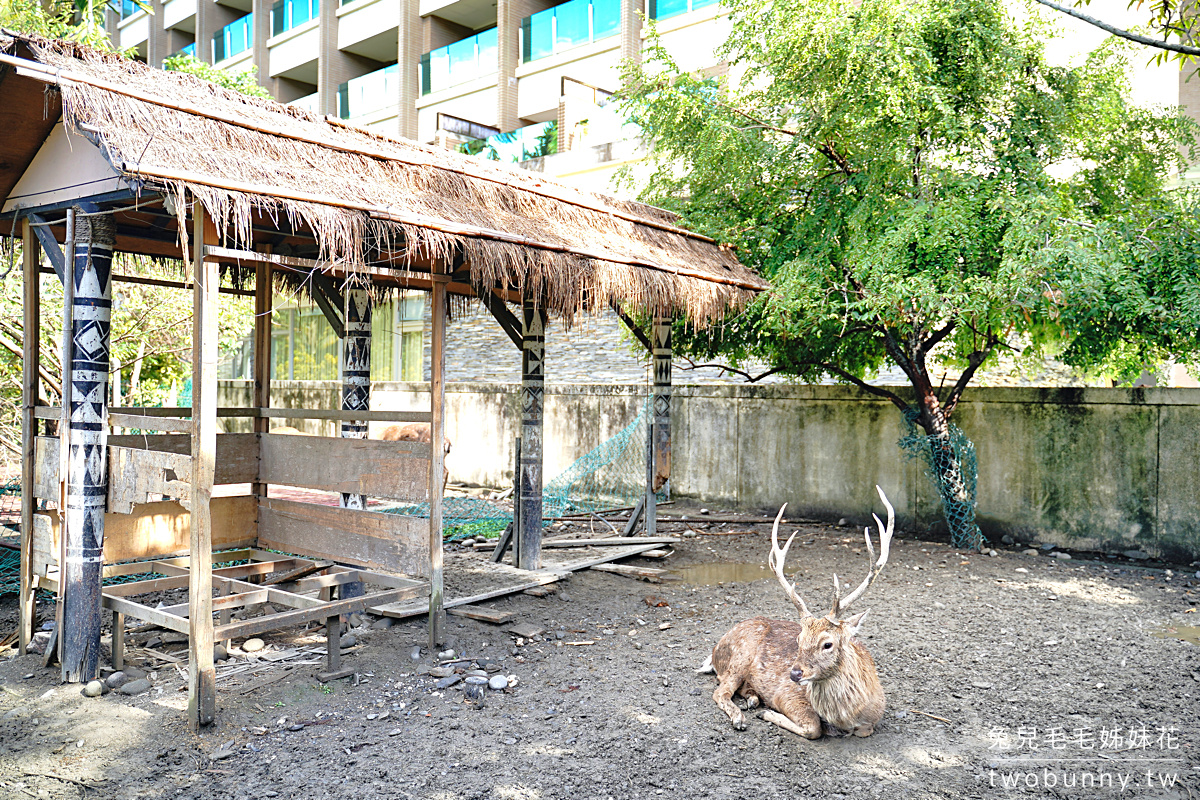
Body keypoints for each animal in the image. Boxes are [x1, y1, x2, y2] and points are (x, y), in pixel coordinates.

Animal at [697, 486, 894, 739]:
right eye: (798, 640)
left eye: (827, 644)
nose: (794, 674)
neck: (848, 715)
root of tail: (715, 650)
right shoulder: (786, 693)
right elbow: (814, 728)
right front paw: (767, 714)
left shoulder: (872, 719)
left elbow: (861, 730)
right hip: (739, 656)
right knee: (720, 691)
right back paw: (741, 717)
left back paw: (752, 699)